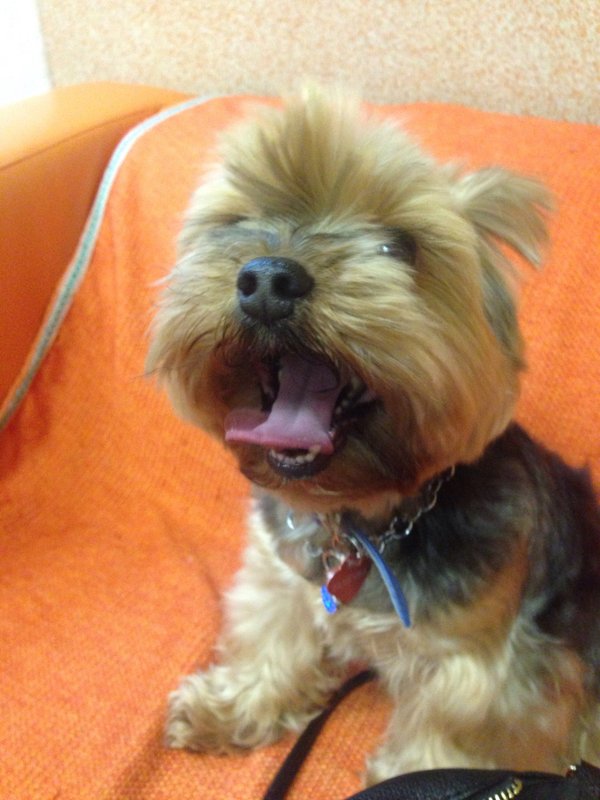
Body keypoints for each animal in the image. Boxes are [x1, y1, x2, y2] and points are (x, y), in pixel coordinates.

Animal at [147, 88, 600, 784]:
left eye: (399, 247)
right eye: (238, 222)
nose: (268, 278)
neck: (360, 518)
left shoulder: (480, 664)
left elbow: (450, 735)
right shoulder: (283, 579)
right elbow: (274, 641)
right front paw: (231, 706)